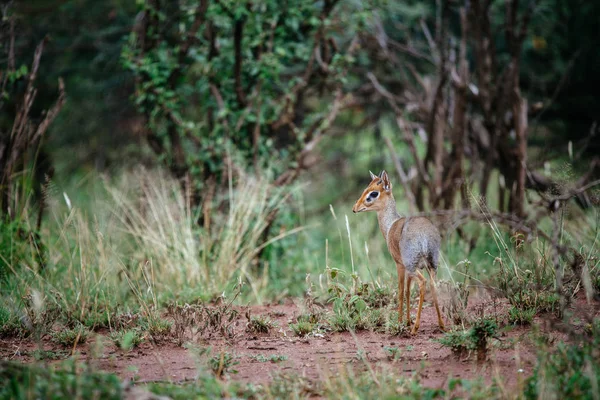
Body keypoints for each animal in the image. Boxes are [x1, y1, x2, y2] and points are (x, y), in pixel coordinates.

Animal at [352, 170, 446, 334]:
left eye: (373, 193)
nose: (355, 207)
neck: (391, 226)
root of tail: (424, 235)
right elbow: (408, 291)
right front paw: (407, 321)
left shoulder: (399, 265)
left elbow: (401, 291)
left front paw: (401, 321)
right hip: (432, 265)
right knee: (433, 285)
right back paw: (441, 325)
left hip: (413, 266)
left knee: (423, 283)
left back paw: (415, 328)